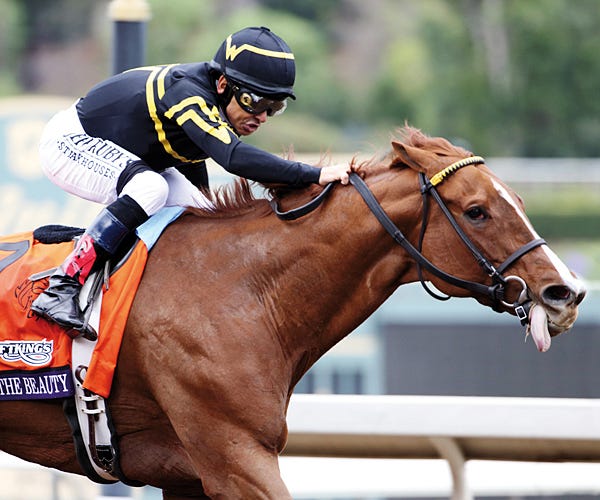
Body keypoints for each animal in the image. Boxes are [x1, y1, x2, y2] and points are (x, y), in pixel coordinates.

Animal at [0, 126, 586, 499]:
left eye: (519, 201)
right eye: (477, 211)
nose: (566, 292)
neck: (241, 291)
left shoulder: (188, 474)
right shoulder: (235, 457)